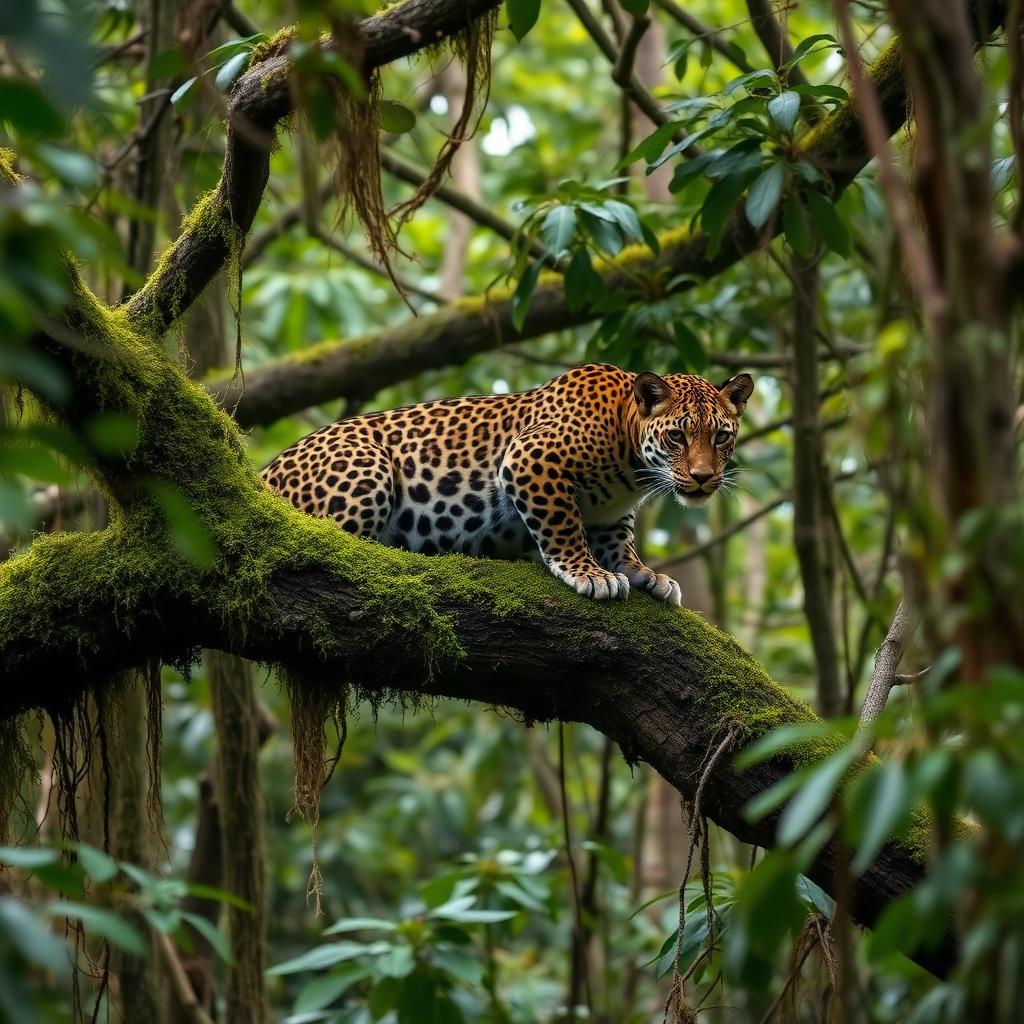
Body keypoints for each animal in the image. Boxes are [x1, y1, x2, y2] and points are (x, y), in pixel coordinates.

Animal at [260, 363, 754, 605]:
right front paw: (589, 574)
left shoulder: (610, 516)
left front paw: (646, 574)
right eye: (677, 436)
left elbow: (620, 545)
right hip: (367, 465)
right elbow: (563, 526)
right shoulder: (530, 458)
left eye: (721, 436)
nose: (703, 477)